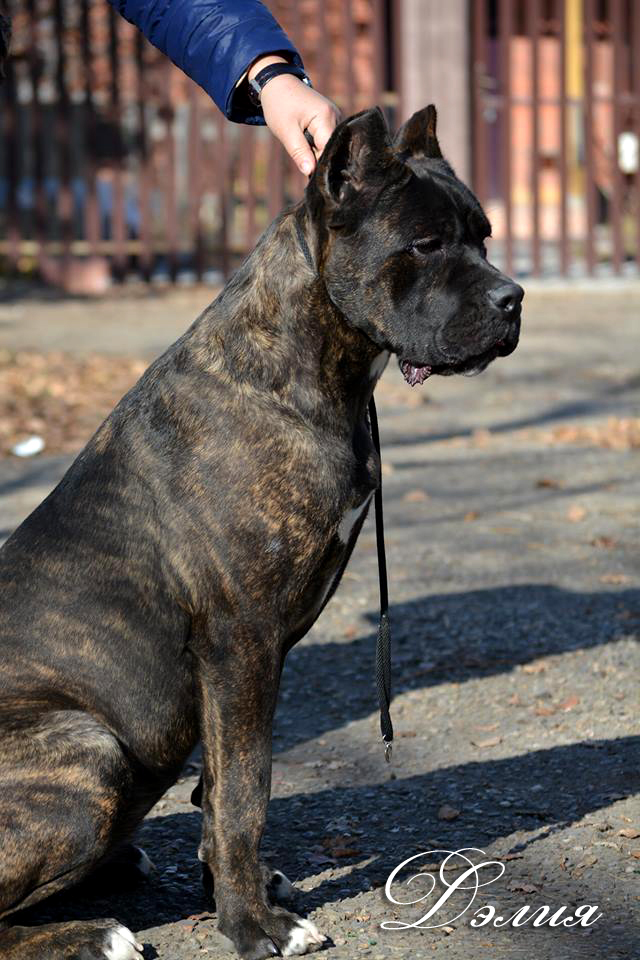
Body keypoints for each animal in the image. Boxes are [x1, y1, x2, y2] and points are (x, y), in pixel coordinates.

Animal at [0, 105, 522, 959]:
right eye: (425, 244)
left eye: (481, 236)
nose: (514, 297)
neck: (313, 368)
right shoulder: (239, 638)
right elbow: (247, 788)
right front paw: (253, 927)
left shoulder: (251, 655)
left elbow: (220, 792)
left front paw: (233, 894)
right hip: (89, 747)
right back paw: (94, 934)